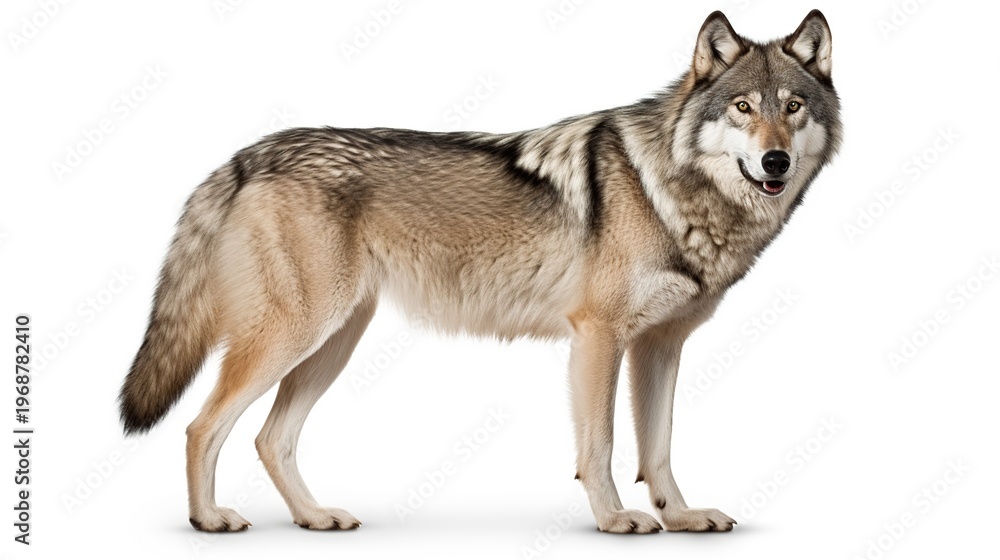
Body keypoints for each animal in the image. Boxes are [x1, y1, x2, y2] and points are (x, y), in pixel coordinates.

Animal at [119, 10, 841, 533]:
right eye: (744, 108)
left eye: (792, 107)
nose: (775, 162)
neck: (672, 190)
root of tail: (247, 153)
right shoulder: (598, 337)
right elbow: (601, 446)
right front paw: (614, 520)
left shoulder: (659, 346)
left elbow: (657, 448)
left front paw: (682, 518)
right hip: (297, 335)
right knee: (201, 425)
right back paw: (209, 520)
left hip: (333, 342)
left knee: (271, 439)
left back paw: (314, 518)